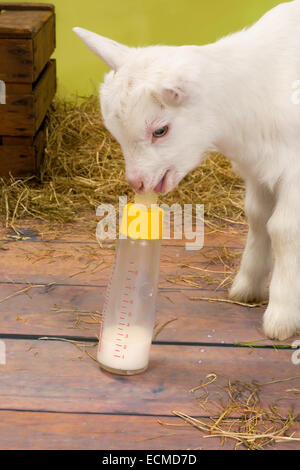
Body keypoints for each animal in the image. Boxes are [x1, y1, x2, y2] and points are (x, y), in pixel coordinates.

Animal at [74, 0, 300, 338]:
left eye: (160, 130)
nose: (137, 182)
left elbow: (284, 229)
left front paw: (282, 316)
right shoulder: (260, 168)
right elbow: (259, 219)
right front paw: (248, 287)